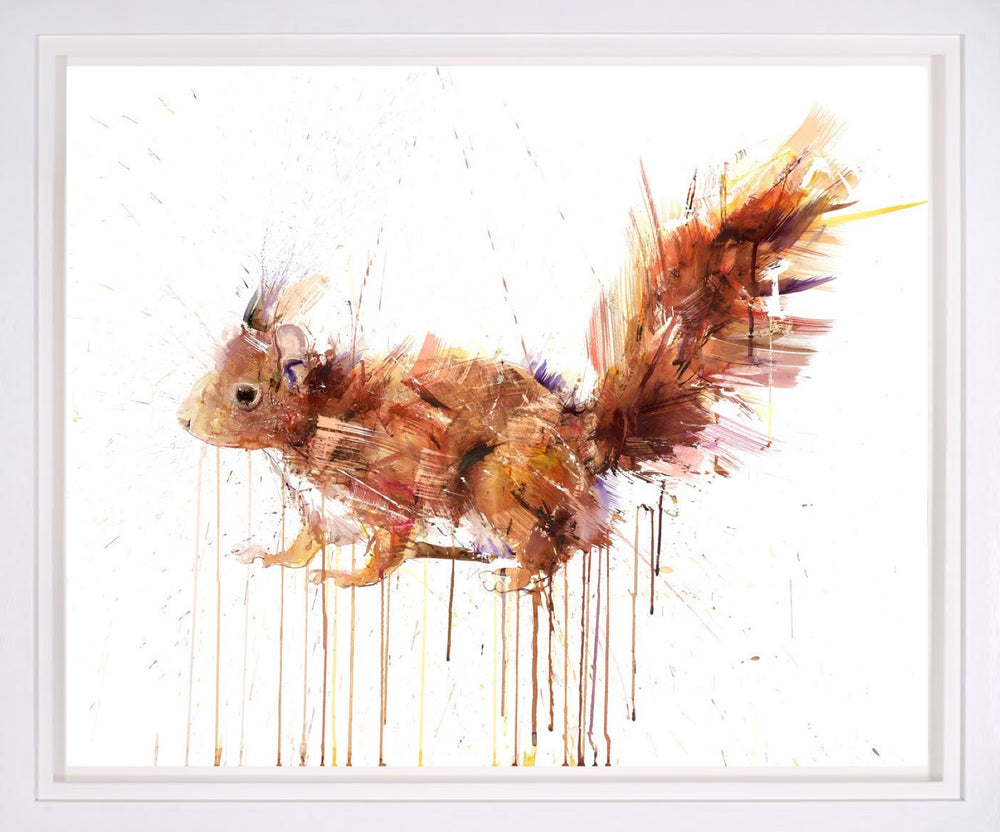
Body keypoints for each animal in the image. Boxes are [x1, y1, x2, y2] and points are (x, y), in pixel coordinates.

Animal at [178, 111, 855, 591]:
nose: (183, 420)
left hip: (495, 483)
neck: (318, 417)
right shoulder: (322, 510)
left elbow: (387, 549)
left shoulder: (389, 491)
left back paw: (513, 578)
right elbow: (306, 542)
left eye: (245, 395)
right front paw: (270, 557)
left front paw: (347, 578)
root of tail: (582, 446)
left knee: (556, 546)